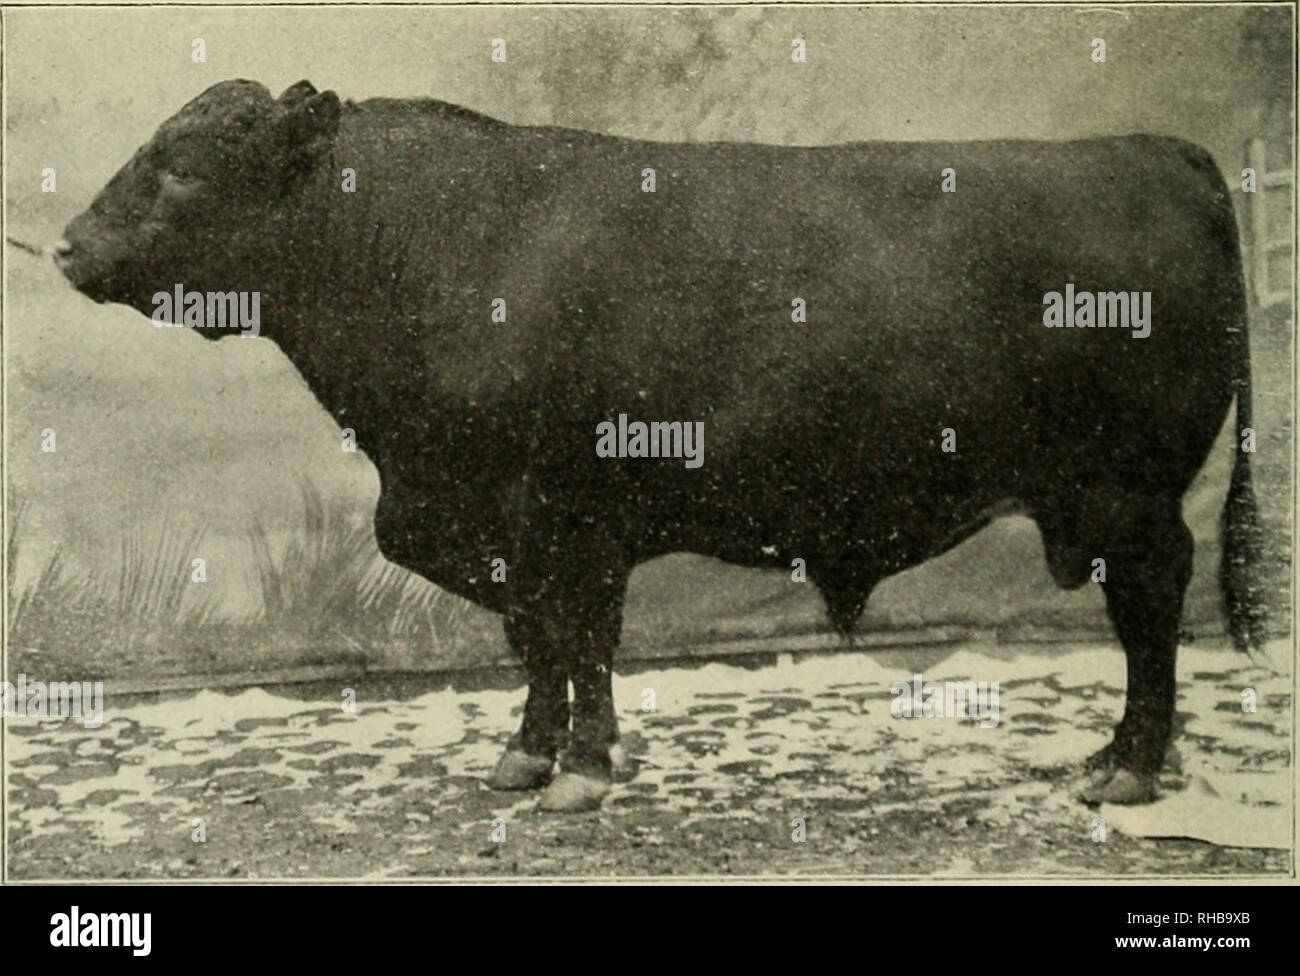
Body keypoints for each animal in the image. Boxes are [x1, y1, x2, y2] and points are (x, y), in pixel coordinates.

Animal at [55, 78, 1263, 810]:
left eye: (183, 164)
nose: (65, 246)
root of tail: (1158, 149)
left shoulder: (564, 511)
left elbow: (577, 635)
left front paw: (582, 769)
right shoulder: (501, 523)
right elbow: (538, 641)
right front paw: (527, 756)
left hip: (1125, 495)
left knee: (1151, 607)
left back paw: (1128, 767)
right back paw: (1125, 755)